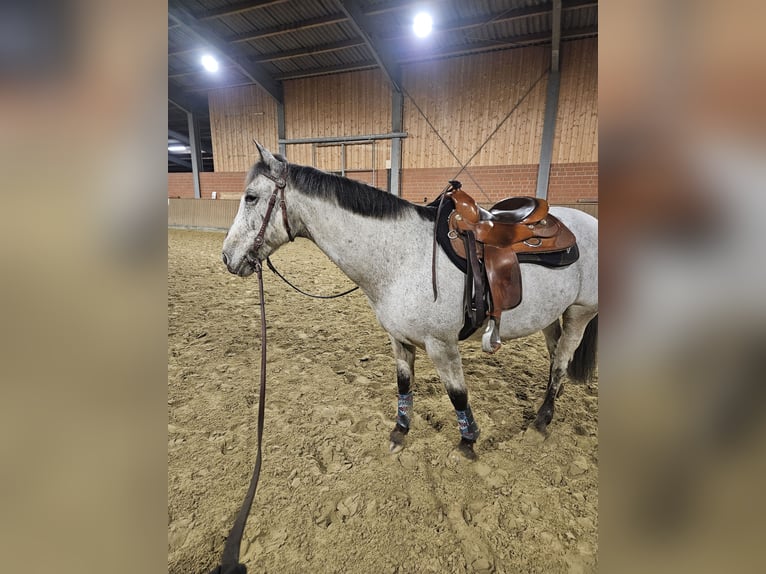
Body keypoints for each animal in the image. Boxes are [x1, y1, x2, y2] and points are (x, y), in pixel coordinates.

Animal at [222, 144, 600, 460]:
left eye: (251, 197)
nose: (227, 257)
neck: (402, 256)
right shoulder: (399, 339)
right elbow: (404, 384)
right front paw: (400, 432)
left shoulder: (442, 344)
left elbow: (457, 394)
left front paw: (468, 443)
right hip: (551, 314)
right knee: (555, 355)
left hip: (580, 313)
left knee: (561, 361)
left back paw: (541, 421)